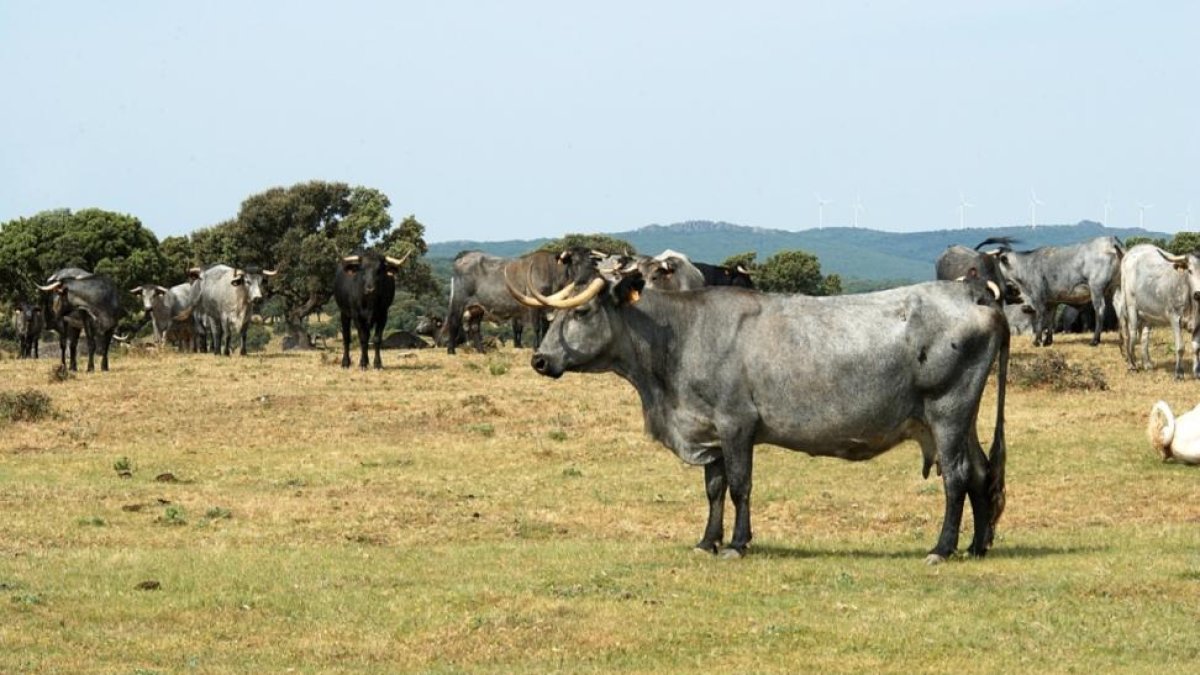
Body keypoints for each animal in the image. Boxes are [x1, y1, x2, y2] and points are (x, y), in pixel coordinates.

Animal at [446, 246, 600, 353]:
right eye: (575, 261)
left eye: (591, 263)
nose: (588, 278)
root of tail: (466, 254)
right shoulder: (534, 304)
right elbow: (537, 328)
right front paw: (536, 348)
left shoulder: (546, 307)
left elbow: (545, 329)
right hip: (459, 301)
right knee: (454, 322)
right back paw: (451, 351)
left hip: (477, 307)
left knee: (475, 327)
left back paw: (481, 351)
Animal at [511, 270, 1008, 559]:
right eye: (552, 318)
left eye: (583, 311)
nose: (540, 359)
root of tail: (973, 294)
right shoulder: (707, 428)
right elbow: (713, 489)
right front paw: (707, 541)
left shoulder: (736, 424)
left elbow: (738, 485)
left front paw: (736, 543)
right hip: (960, 419)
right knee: (982, 472)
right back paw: (977, 546)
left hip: (947, 410)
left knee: (957, 477)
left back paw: (942, 548)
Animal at [988, 234, 1118, 343]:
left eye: (994, 262)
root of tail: (1110, 240)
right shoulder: (1052, 300)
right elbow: (1050, 318)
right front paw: (1048, 341)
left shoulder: (1038, 297)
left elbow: (1041, 316)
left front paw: (1037, 341)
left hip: (1096, 289)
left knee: (1099, 310)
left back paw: (1095, 340)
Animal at [1113, 242, 1200, 379]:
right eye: (1190, 271)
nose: (1198, 294)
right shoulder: (1174, 318)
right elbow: (1180, 347)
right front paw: (1179, 373)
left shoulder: (1198, 323)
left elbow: (1196, 347)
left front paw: (1197, 372)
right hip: (1130, 308)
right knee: (1131, 335)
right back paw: (1132, 364)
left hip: (1147, 314)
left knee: (1144, 338)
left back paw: (1147, 364)